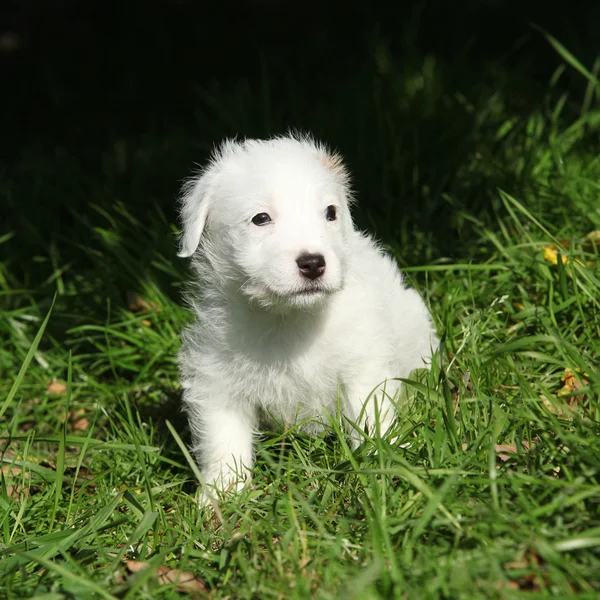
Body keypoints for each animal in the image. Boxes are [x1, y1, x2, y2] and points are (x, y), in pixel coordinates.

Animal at [177, 135, 436, 496]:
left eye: (330, 212)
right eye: (261, 218)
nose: (313, 263)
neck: (289, 319)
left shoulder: (363, 369)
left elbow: (371, 419)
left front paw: (381, 466)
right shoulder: (217, 383)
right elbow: (223, 442)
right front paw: (222, 494)